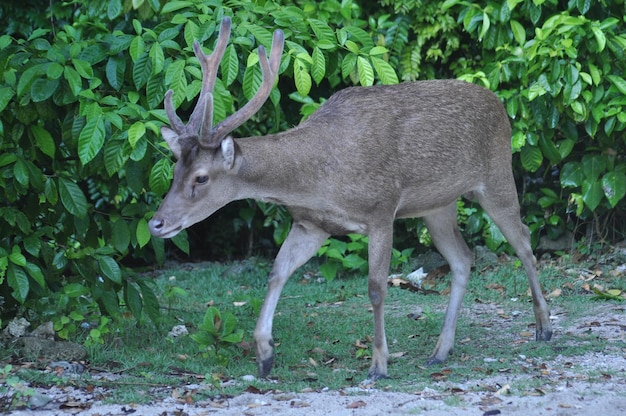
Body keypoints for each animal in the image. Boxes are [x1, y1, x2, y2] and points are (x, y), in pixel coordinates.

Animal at [150, 17, 552, 382]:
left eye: (201, 177)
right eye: (175, 170)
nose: (156, 223)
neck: (320, 179)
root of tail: (500, 103)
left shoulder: (381, 209)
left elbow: (376, 288)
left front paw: (378, 365)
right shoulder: (310, 223)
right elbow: (277, 271)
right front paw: (264, 356)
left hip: (496, 175)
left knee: (524, 242)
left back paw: (544, 328)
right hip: (438, 206)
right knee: (462, 258)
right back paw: (440, 350)